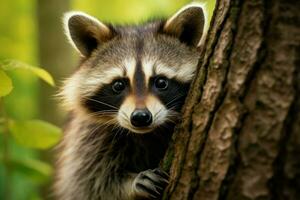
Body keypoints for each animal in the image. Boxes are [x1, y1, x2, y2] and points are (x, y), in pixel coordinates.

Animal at [55, 3, 207, 200]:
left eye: (161, 82)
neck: (147, 133)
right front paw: (131, 185)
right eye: (119, 84)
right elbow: (88, 184)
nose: (140, 117)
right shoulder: (89, 137)